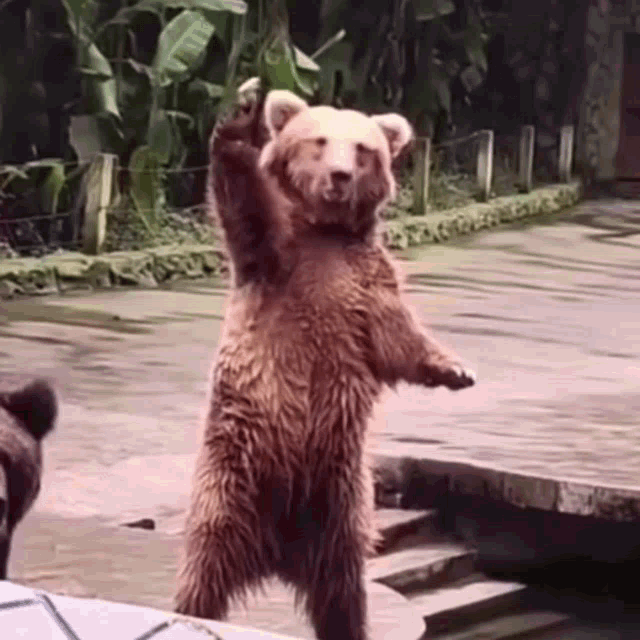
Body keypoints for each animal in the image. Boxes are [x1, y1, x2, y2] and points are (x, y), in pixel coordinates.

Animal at [174, 83, 476, 640]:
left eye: (363, 148)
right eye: (318, 140)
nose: (339, 176)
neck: (325, 233)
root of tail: (276, 552)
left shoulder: (365, 285)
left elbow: (398, 338)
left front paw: (455, 370)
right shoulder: (277, 262)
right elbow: (244, 206)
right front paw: (240, 115)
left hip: (342, 501)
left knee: (344, 588)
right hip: (234, 474)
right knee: (205, 565)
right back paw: (191, 610)